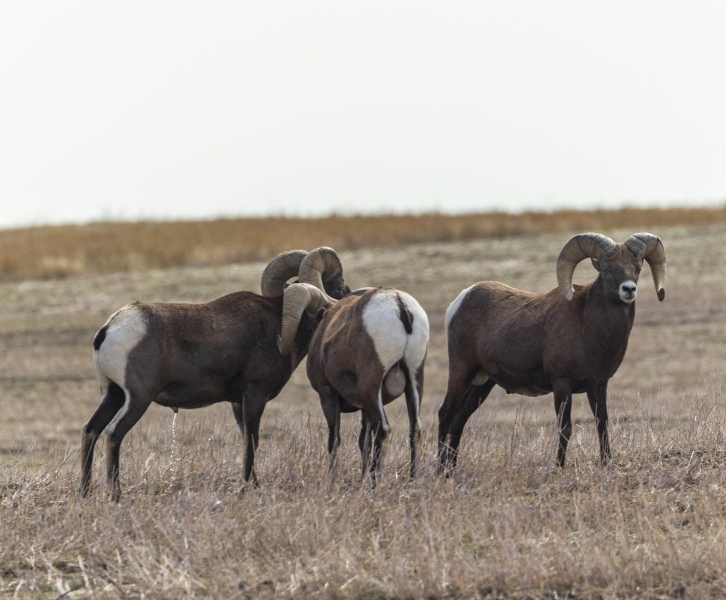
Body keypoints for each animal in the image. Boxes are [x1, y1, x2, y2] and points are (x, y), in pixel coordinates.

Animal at [79, 247, 349, 500]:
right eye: (338, 285)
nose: (343, 303)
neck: (278, 326)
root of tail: (108, 330)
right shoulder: (254, 396)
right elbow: (252, 441)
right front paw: (244, 488)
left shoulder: (237, 402)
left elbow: (246, 440)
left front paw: (253, 484)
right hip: (137, 399)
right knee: (113, 434)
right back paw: (115, 495)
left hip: (113, 395)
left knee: (91, 430)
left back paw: (85, 492)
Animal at [278, 284, 429, 481]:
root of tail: (400, 304)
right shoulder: (364, 408)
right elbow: (364, 441)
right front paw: (361, 479)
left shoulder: (327, 394)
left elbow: (334, 439)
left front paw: (332, 480)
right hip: (414, 379)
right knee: (415, 430)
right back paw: (412, 480)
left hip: (371, 386)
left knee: (383, 431)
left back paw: (374, 483)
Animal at [438, 232, 667, 472]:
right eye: (607, 268)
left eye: (637, 268)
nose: (629, 289)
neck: (588, 326)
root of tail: (459, 301)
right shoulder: (561, 384)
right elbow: (565, 428)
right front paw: (559, 468)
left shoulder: (598, 385)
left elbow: (602, 425)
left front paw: (606, 465)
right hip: (462, 371)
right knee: (445, 414)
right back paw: (438, 471)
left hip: (482, 382)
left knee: (459, 419)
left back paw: (451, 470)